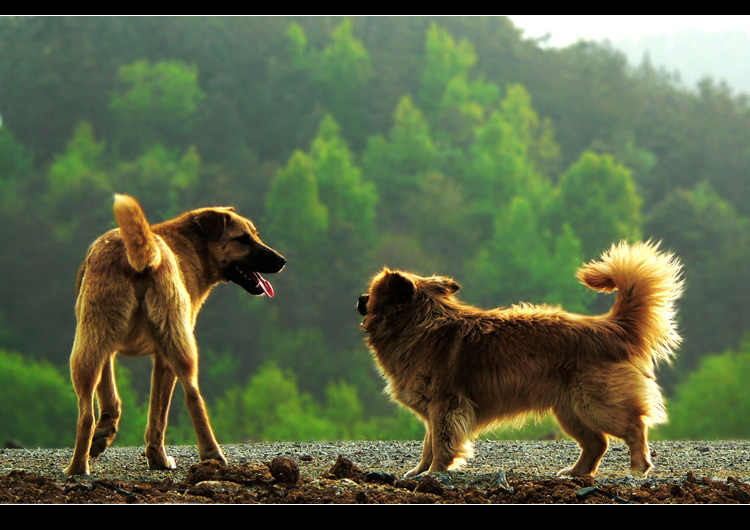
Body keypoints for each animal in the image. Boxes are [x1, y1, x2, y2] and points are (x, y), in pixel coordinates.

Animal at [64, 195, 286, 474]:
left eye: (256, 235)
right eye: (243, 239)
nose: (282, 261)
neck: (192, 247)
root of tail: (142, 256)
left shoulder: (109, 348)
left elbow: (112, 395)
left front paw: (102, 434)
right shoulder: (155, 356)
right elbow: (143, 407)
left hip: (91, 344)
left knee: (86, 412)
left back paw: (78, 467)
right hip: (174, 345)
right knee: (191, 397)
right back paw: (194, 455)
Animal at [362, 241, 684, 476]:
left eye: (371, 294)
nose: (358, 299)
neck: (420, 322)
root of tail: (610, 326)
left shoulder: (445, 407)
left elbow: (441, 445)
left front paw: (435, 473)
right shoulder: (433, 412)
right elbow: (428, 446)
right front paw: (419, 472)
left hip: (597, 405)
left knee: (634, 428)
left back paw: (638, 466)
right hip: (570, 410)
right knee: (597, 444)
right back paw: (575, 473)